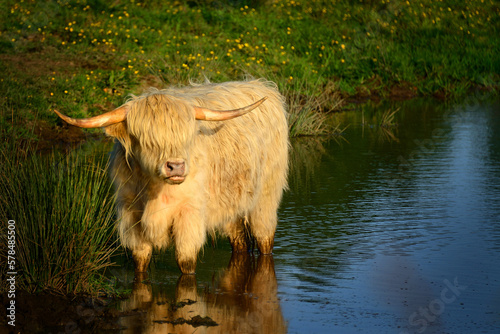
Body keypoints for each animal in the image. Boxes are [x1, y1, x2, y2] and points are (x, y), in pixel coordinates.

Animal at [54, 79, 290, 274]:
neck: (154, 190)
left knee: (264, 236)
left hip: (266, 197)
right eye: (147, 139)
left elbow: (186, 261)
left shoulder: (189, 214)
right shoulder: (130, 212)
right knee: (239, 240)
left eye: (187, 137)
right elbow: (140, 259)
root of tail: (260, 85)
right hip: (232, 203)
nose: (176, 167)